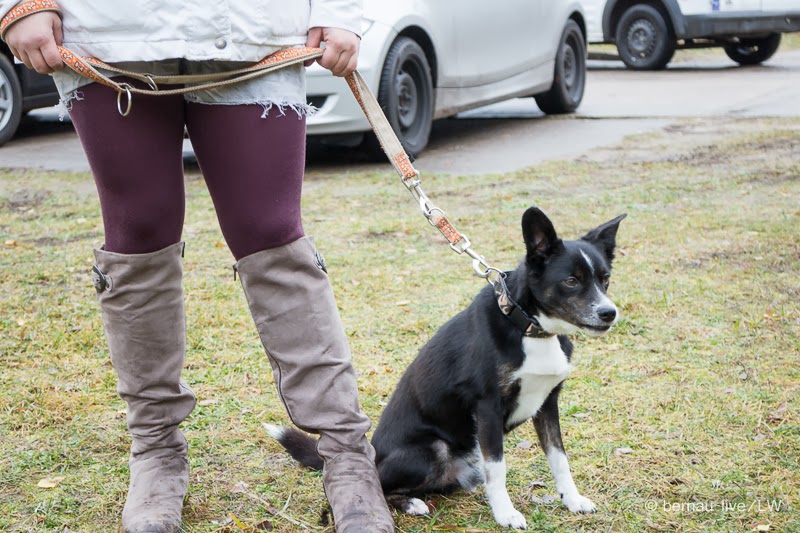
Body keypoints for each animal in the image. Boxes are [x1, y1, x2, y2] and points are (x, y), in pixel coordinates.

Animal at [268, 208, 624, 528]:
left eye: (605, 279)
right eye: (571, 281)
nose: (609, 313)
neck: (527, 326)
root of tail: (371, 454)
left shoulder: (548, 402)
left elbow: (559, 459)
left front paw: (572, 499)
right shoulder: (488, 407)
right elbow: (498, 468)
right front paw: (505, 514)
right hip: (432, 448)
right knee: (380, 484)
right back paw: (409, 503)